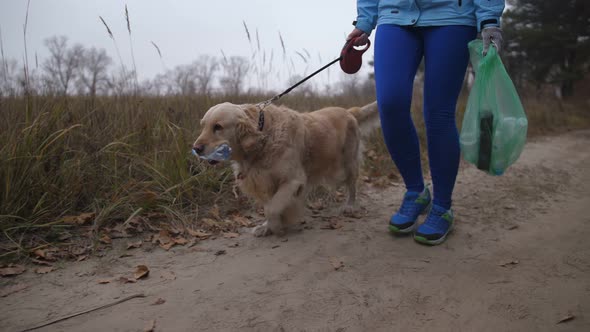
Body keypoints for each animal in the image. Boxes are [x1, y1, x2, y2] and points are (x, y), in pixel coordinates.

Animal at [192, 101, 382, 236]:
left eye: (218, 127)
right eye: (202, 125)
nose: (196, 148)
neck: (264, 137)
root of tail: (349, 111)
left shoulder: (292, 181)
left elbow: (272, 208)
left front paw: (277, 226)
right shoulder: (265, 182)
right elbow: (269, 205)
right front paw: (266, 227)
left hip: (348, 163)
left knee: (352, 186)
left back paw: (350, 205)